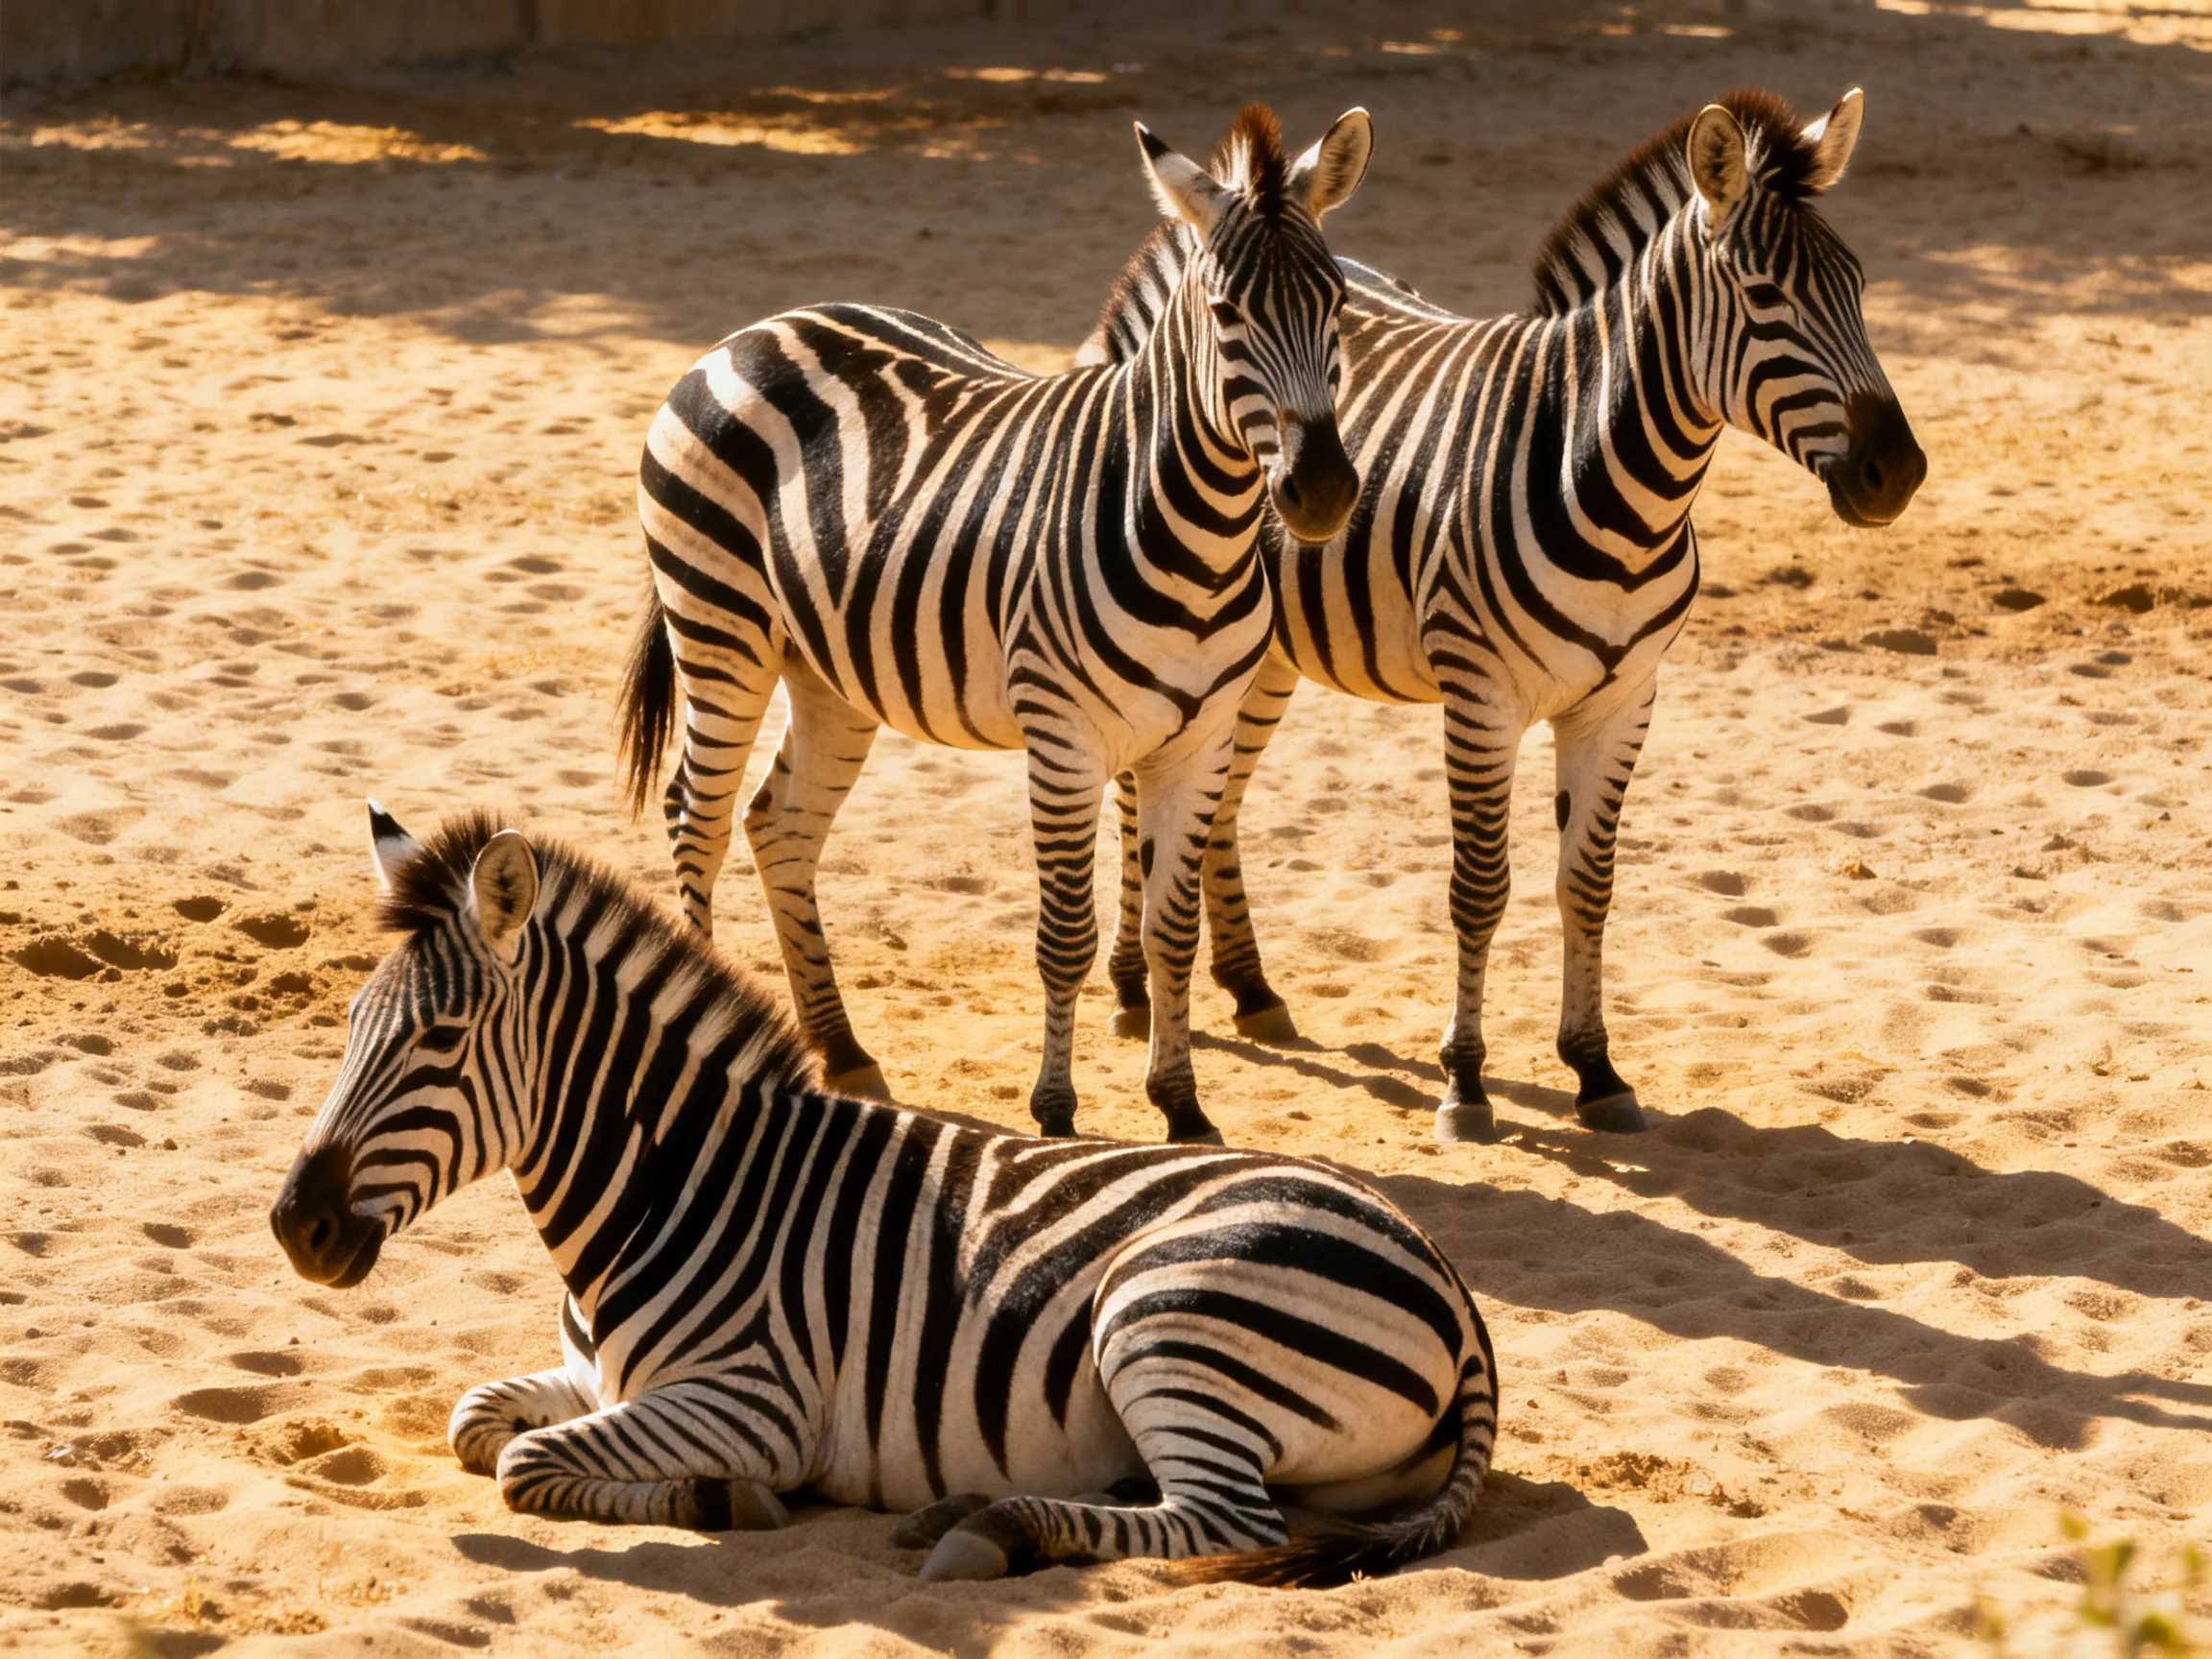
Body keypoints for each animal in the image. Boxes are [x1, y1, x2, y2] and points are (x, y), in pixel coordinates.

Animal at [268, 805, 1499, 1586]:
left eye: (438, 1038)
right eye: (348, 1024)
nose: (294, 1226)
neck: (673, 1184)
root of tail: (1447, 1274)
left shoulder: (753, 1402)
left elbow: (524, 1465)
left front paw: (721, 1500)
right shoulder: (595, 1378)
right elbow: (476, 1420)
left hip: (1170, 1314)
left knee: (1224, 1519)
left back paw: (988, 1533)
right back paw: (974, 1510)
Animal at [615, 106, 1372, 1146]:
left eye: (1336, 303)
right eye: (1226, 313)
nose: (1324, 492)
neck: (1195, 530)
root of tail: (753, 330)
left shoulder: (1199, 740)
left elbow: (1169, 932)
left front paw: (1182, 1106)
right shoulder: (1062, 738)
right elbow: (1066, 936)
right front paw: (1055, 1112)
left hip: (827, 669)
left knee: (781, 824)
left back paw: (844, 1052)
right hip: (718, 626)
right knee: (699, 817)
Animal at [1081, 88, 1926, 1143]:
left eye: (1856, 284)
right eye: (1764, 294)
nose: (1900, 471)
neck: (1606, 473)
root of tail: (1180, 233)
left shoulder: (1624, 698)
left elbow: (1587, 884)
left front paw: (1596, 1070)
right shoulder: (1481, 698)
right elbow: (1480, 891)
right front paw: (1467, 1083)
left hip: (1265, 654)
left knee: (1220, 807)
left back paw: (1250, 988)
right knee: (1136, 796)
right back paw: (1131, 990)